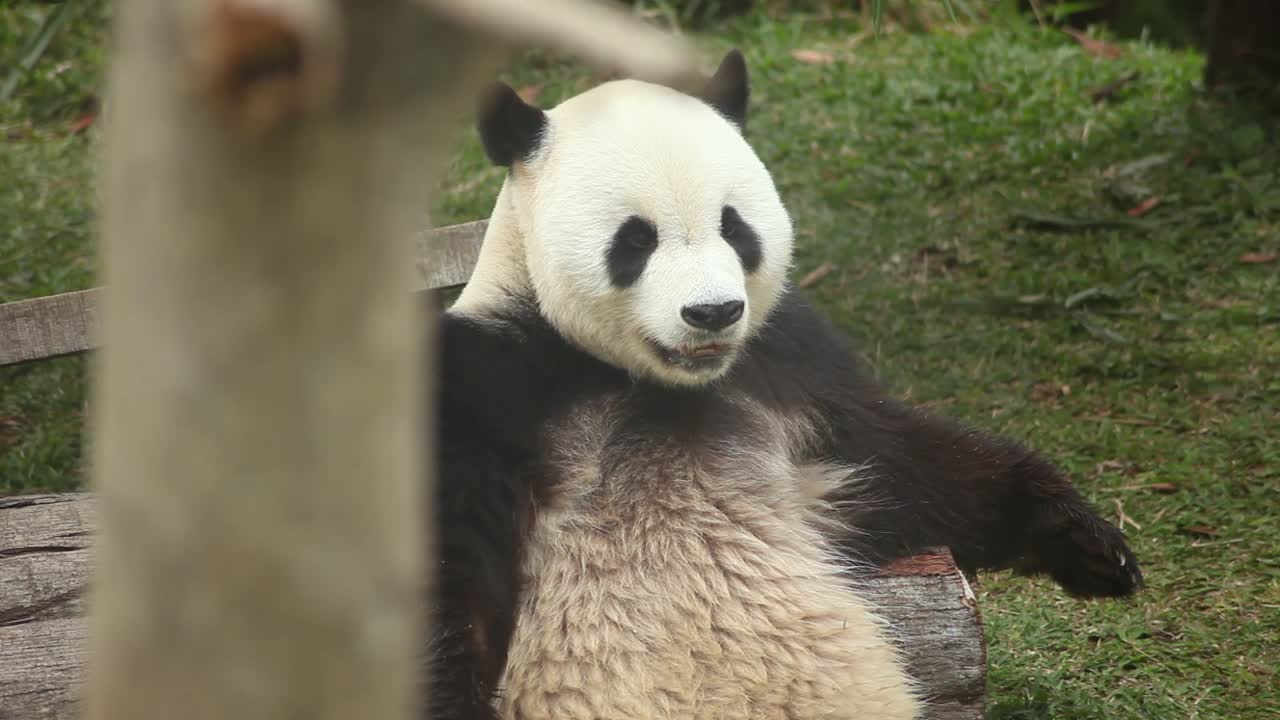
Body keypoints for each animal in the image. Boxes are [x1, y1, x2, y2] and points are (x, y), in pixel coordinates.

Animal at [426, 49, 1143, 720]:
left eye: (734, 226)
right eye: (634, 241)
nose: (713, 312)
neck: (648, 379)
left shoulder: (790, 373)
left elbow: (909, 464)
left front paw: (1091, 544)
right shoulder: (488, 390)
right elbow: (450, 586)